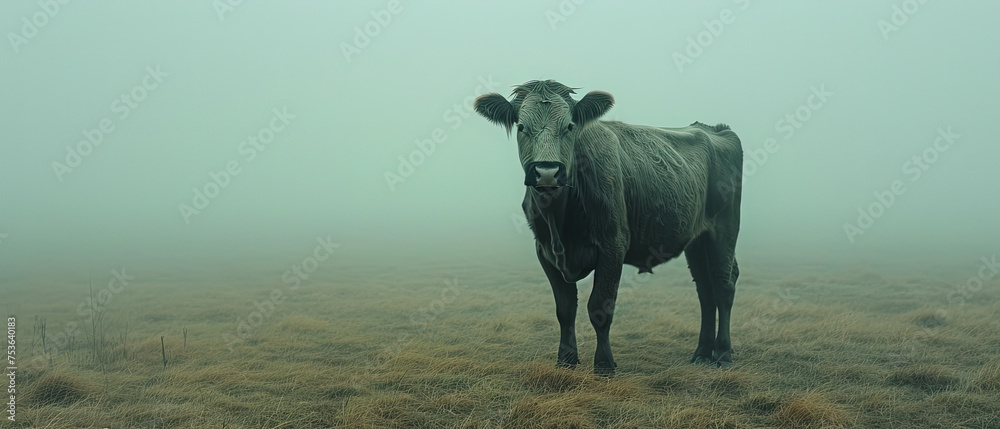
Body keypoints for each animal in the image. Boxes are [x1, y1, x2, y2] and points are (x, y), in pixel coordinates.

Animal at [474, 80, 743, 376]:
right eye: (521, 126)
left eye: (569, 126)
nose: (547, 172)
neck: (561, 218)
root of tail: (714, 129)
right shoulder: (544, 252)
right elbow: (564, 310)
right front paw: (566, 360)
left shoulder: (613, 245)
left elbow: (600, 307)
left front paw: (604, 364)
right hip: (696, 238)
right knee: (705, 288)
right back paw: (702, 353)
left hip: (725, 229)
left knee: (723, 284)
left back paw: (723, 354)